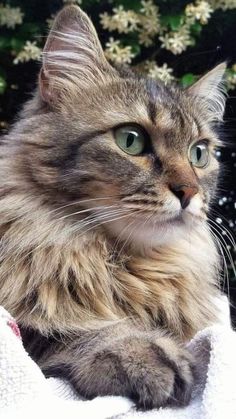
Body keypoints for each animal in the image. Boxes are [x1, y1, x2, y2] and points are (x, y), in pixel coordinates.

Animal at [0, 3, 228, 410]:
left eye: (199, 154)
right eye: (130, 140)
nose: (188, 192)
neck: (128, 266)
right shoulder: (20, 325)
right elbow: (60, 330)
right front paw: (141, 352)